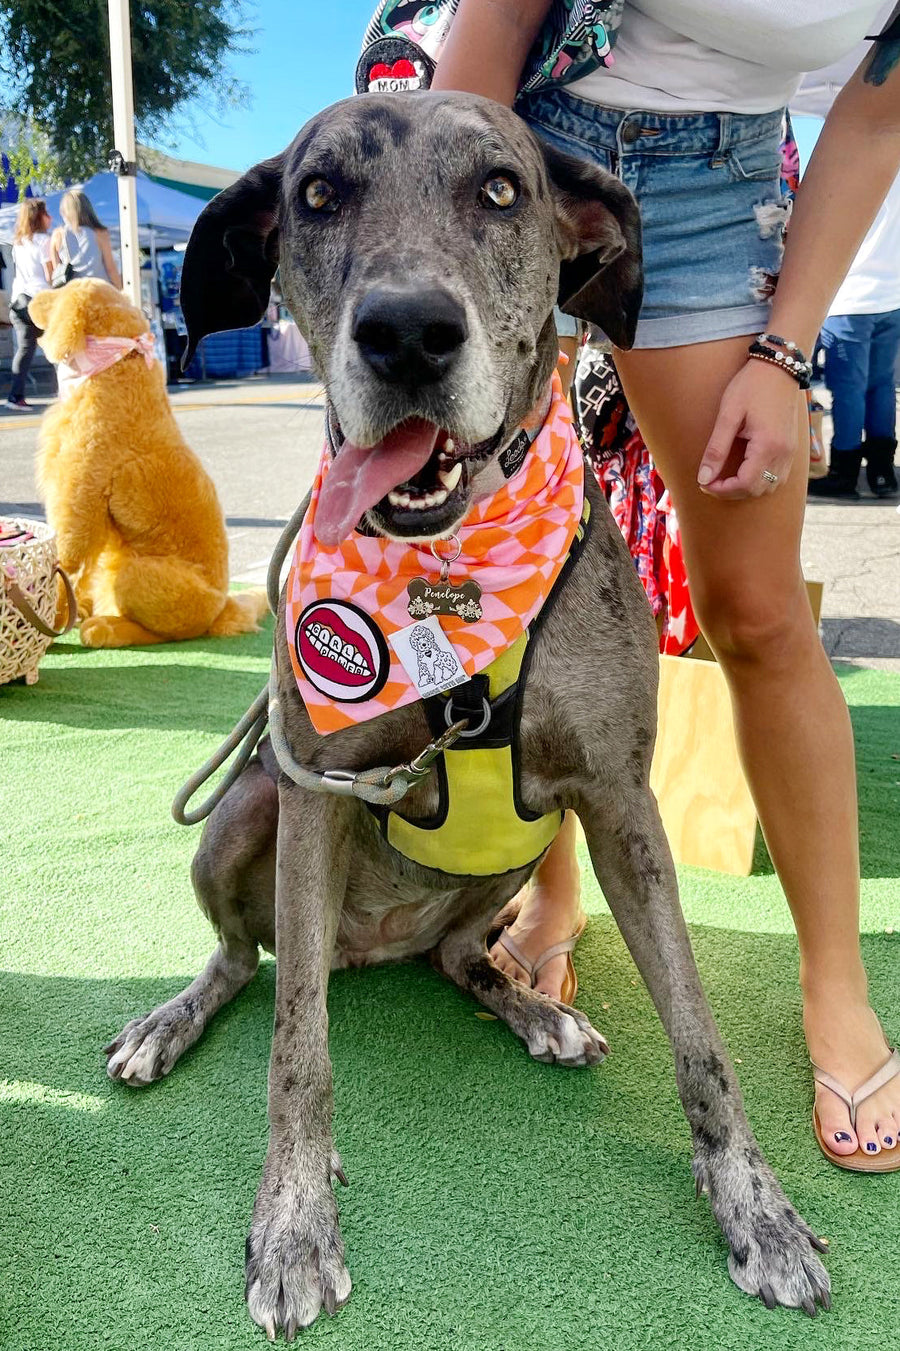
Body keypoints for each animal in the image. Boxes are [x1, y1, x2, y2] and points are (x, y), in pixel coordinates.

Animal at [103, 92, 827, 1329]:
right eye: (317, 194)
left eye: (500, 189)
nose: (407, 333)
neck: (451, 571)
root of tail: (372, 948)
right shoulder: (313, 796)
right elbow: (298, 1046)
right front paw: (292, 1222)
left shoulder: (620, 804)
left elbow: (699, 1032)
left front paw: (758, 1208)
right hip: (245, 813)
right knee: (248, 960)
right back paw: (171, 1018)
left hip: (514, 861)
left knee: (457, 958)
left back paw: (533, 1005)